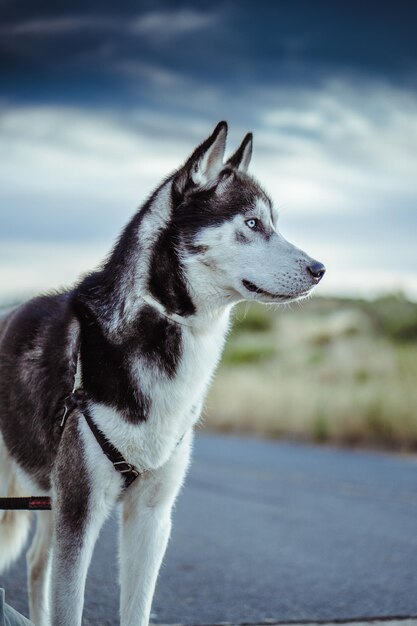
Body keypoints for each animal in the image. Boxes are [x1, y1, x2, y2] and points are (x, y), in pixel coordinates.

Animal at [0, 123, 324, 624]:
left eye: (274, 223)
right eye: (253, 224)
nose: (320, 269)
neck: (165, 321)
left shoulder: (150, 515)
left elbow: (135, 608)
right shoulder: (80, 510)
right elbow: (71, 604)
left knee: (37, 565)